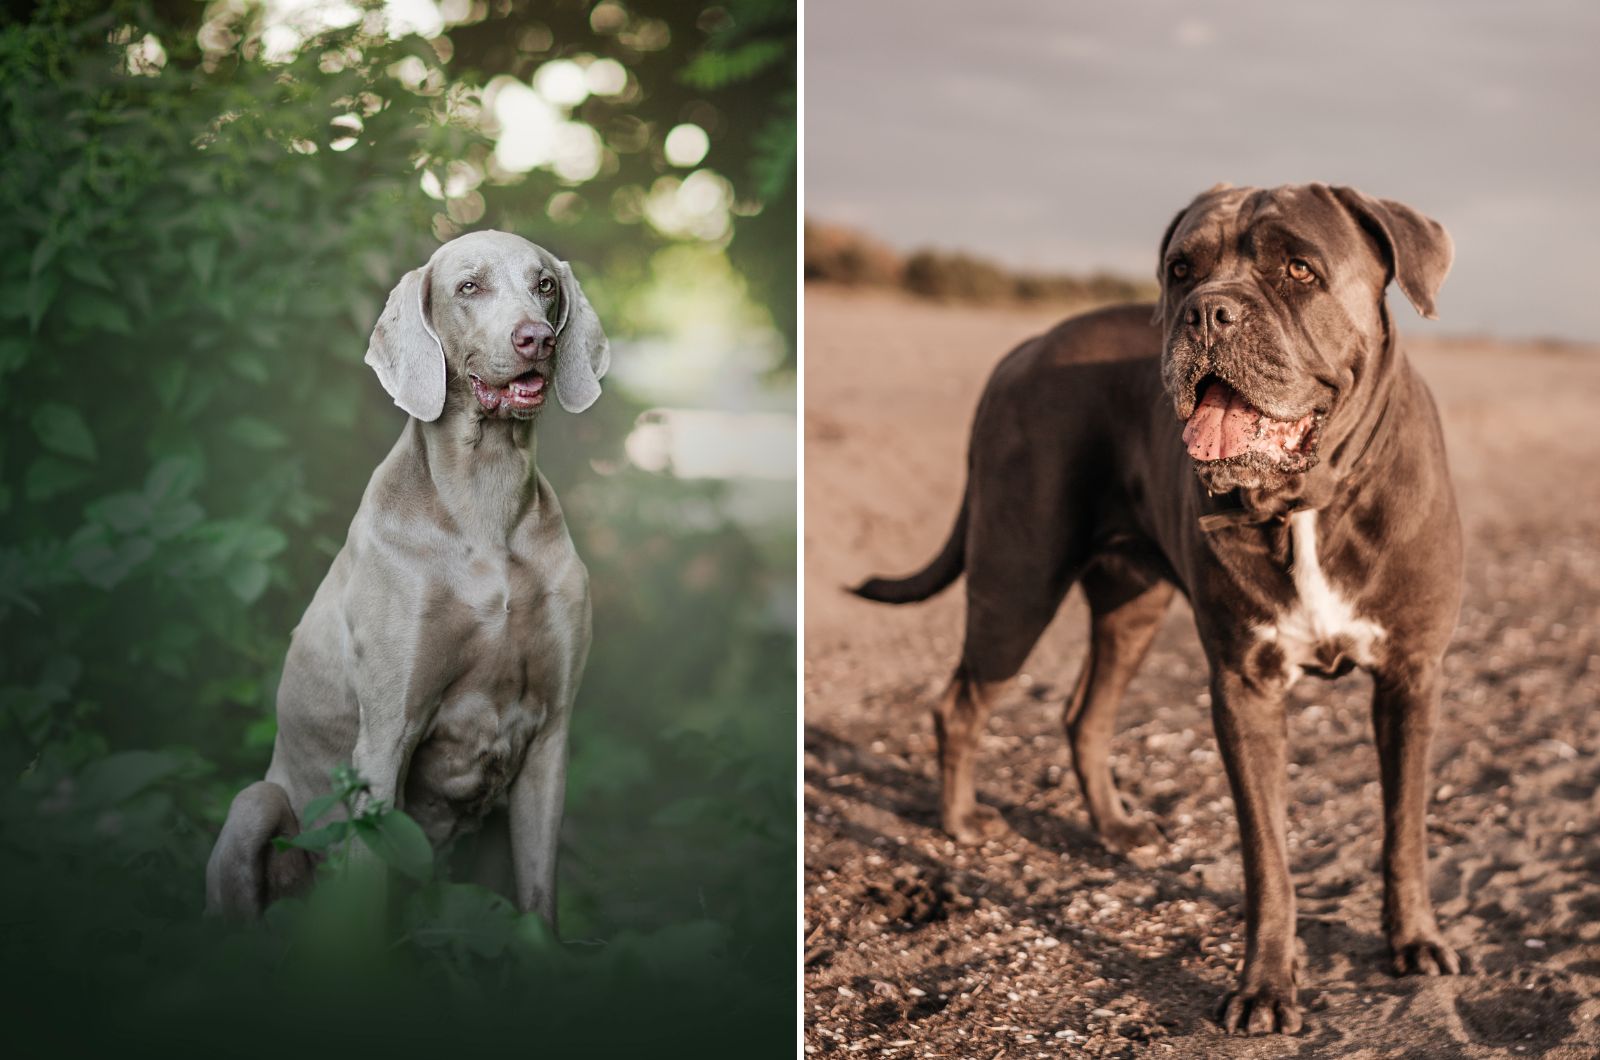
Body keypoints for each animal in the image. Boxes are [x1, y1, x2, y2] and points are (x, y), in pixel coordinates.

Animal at [209, 232, 608, 928]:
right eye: (468, 287)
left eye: (546, 286)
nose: (537, 338)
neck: (485, 504)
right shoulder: (385, 739)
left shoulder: (551, 737)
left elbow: (538, 905)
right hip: (257, 804)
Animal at [864, 182, 1465, 1037]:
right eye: (1183, 269)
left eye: (1299, 269)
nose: (1208, 312)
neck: (1307, 502)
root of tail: (1025, 349)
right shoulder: (1245, 689)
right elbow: (1267, 859)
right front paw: (1265, 986)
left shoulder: (1411, 677)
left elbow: (1404, 829)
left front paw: (1415, 942)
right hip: (1017, 582)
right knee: (963, 702)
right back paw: (962, 823)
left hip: (1130, 605)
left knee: (1084, 714)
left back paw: (1115, 826)